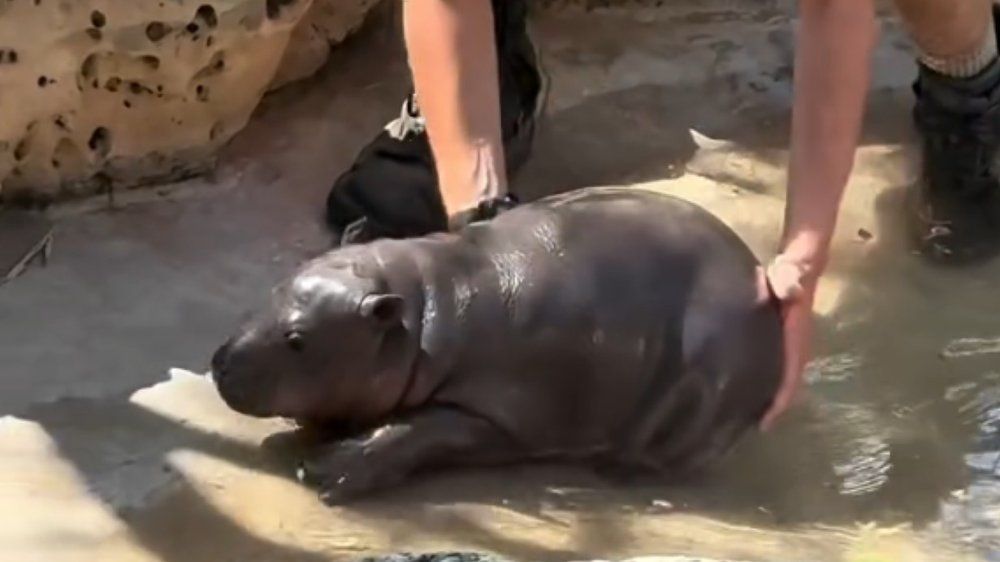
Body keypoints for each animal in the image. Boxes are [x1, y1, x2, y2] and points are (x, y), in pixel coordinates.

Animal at [211, 187, 783, 504]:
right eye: (274, 290)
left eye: (297, 339)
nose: (219, 363)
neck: (423, 311)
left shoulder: (501, 412)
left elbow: (421, 430)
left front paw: (328, 469)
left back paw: (618, 476)